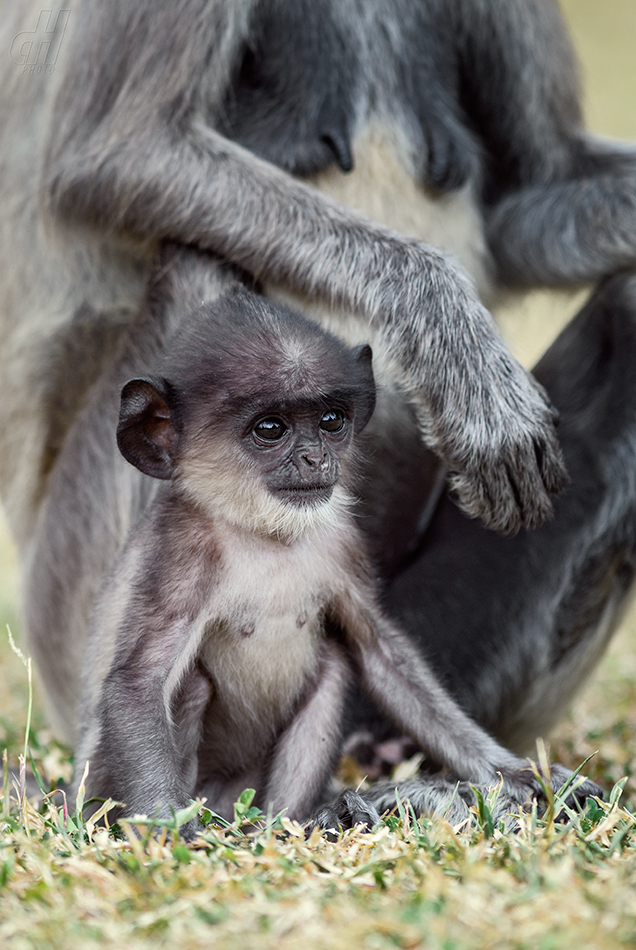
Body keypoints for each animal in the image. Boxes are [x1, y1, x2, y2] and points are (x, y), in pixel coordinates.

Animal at [74, 284, 596, 840]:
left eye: (330, 421)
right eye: (270, 428)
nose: (314, 459)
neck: (263, 535)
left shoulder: (340, 540)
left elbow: (380, 654)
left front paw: (514, 773)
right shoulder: (181, 550)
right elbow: (136, 684)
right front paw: (173, 835)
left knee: (333, 665)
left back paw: (296, 824)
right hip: (107, 787)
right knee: (189, 685)